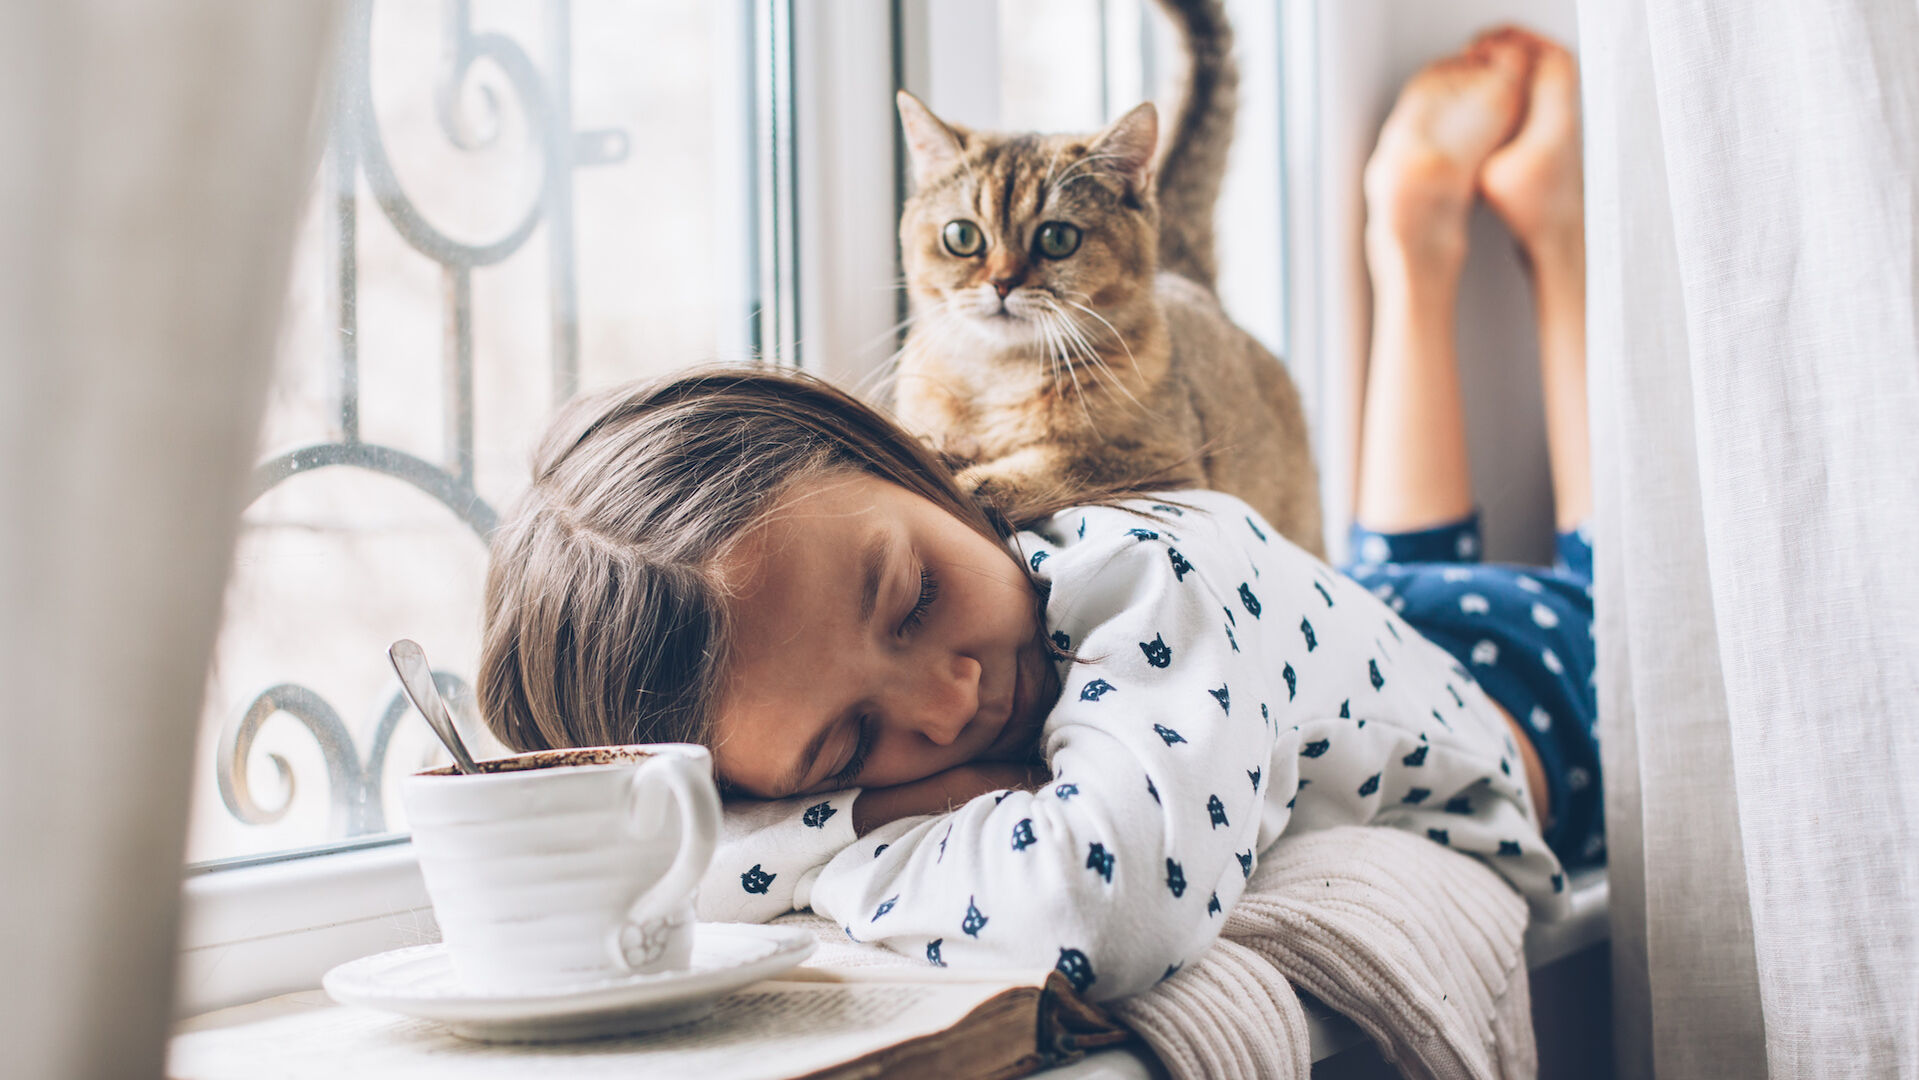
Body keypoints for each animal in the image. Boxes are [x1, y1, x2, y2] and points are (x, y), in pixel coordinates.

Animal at [894, 0, 1320, 556]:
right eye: (962, 236)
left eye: (1057, 238)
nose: (1002, 283)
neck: (1000, 379)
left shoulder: (1163, 461)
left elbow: (1065, 462)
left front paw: (975, 481)